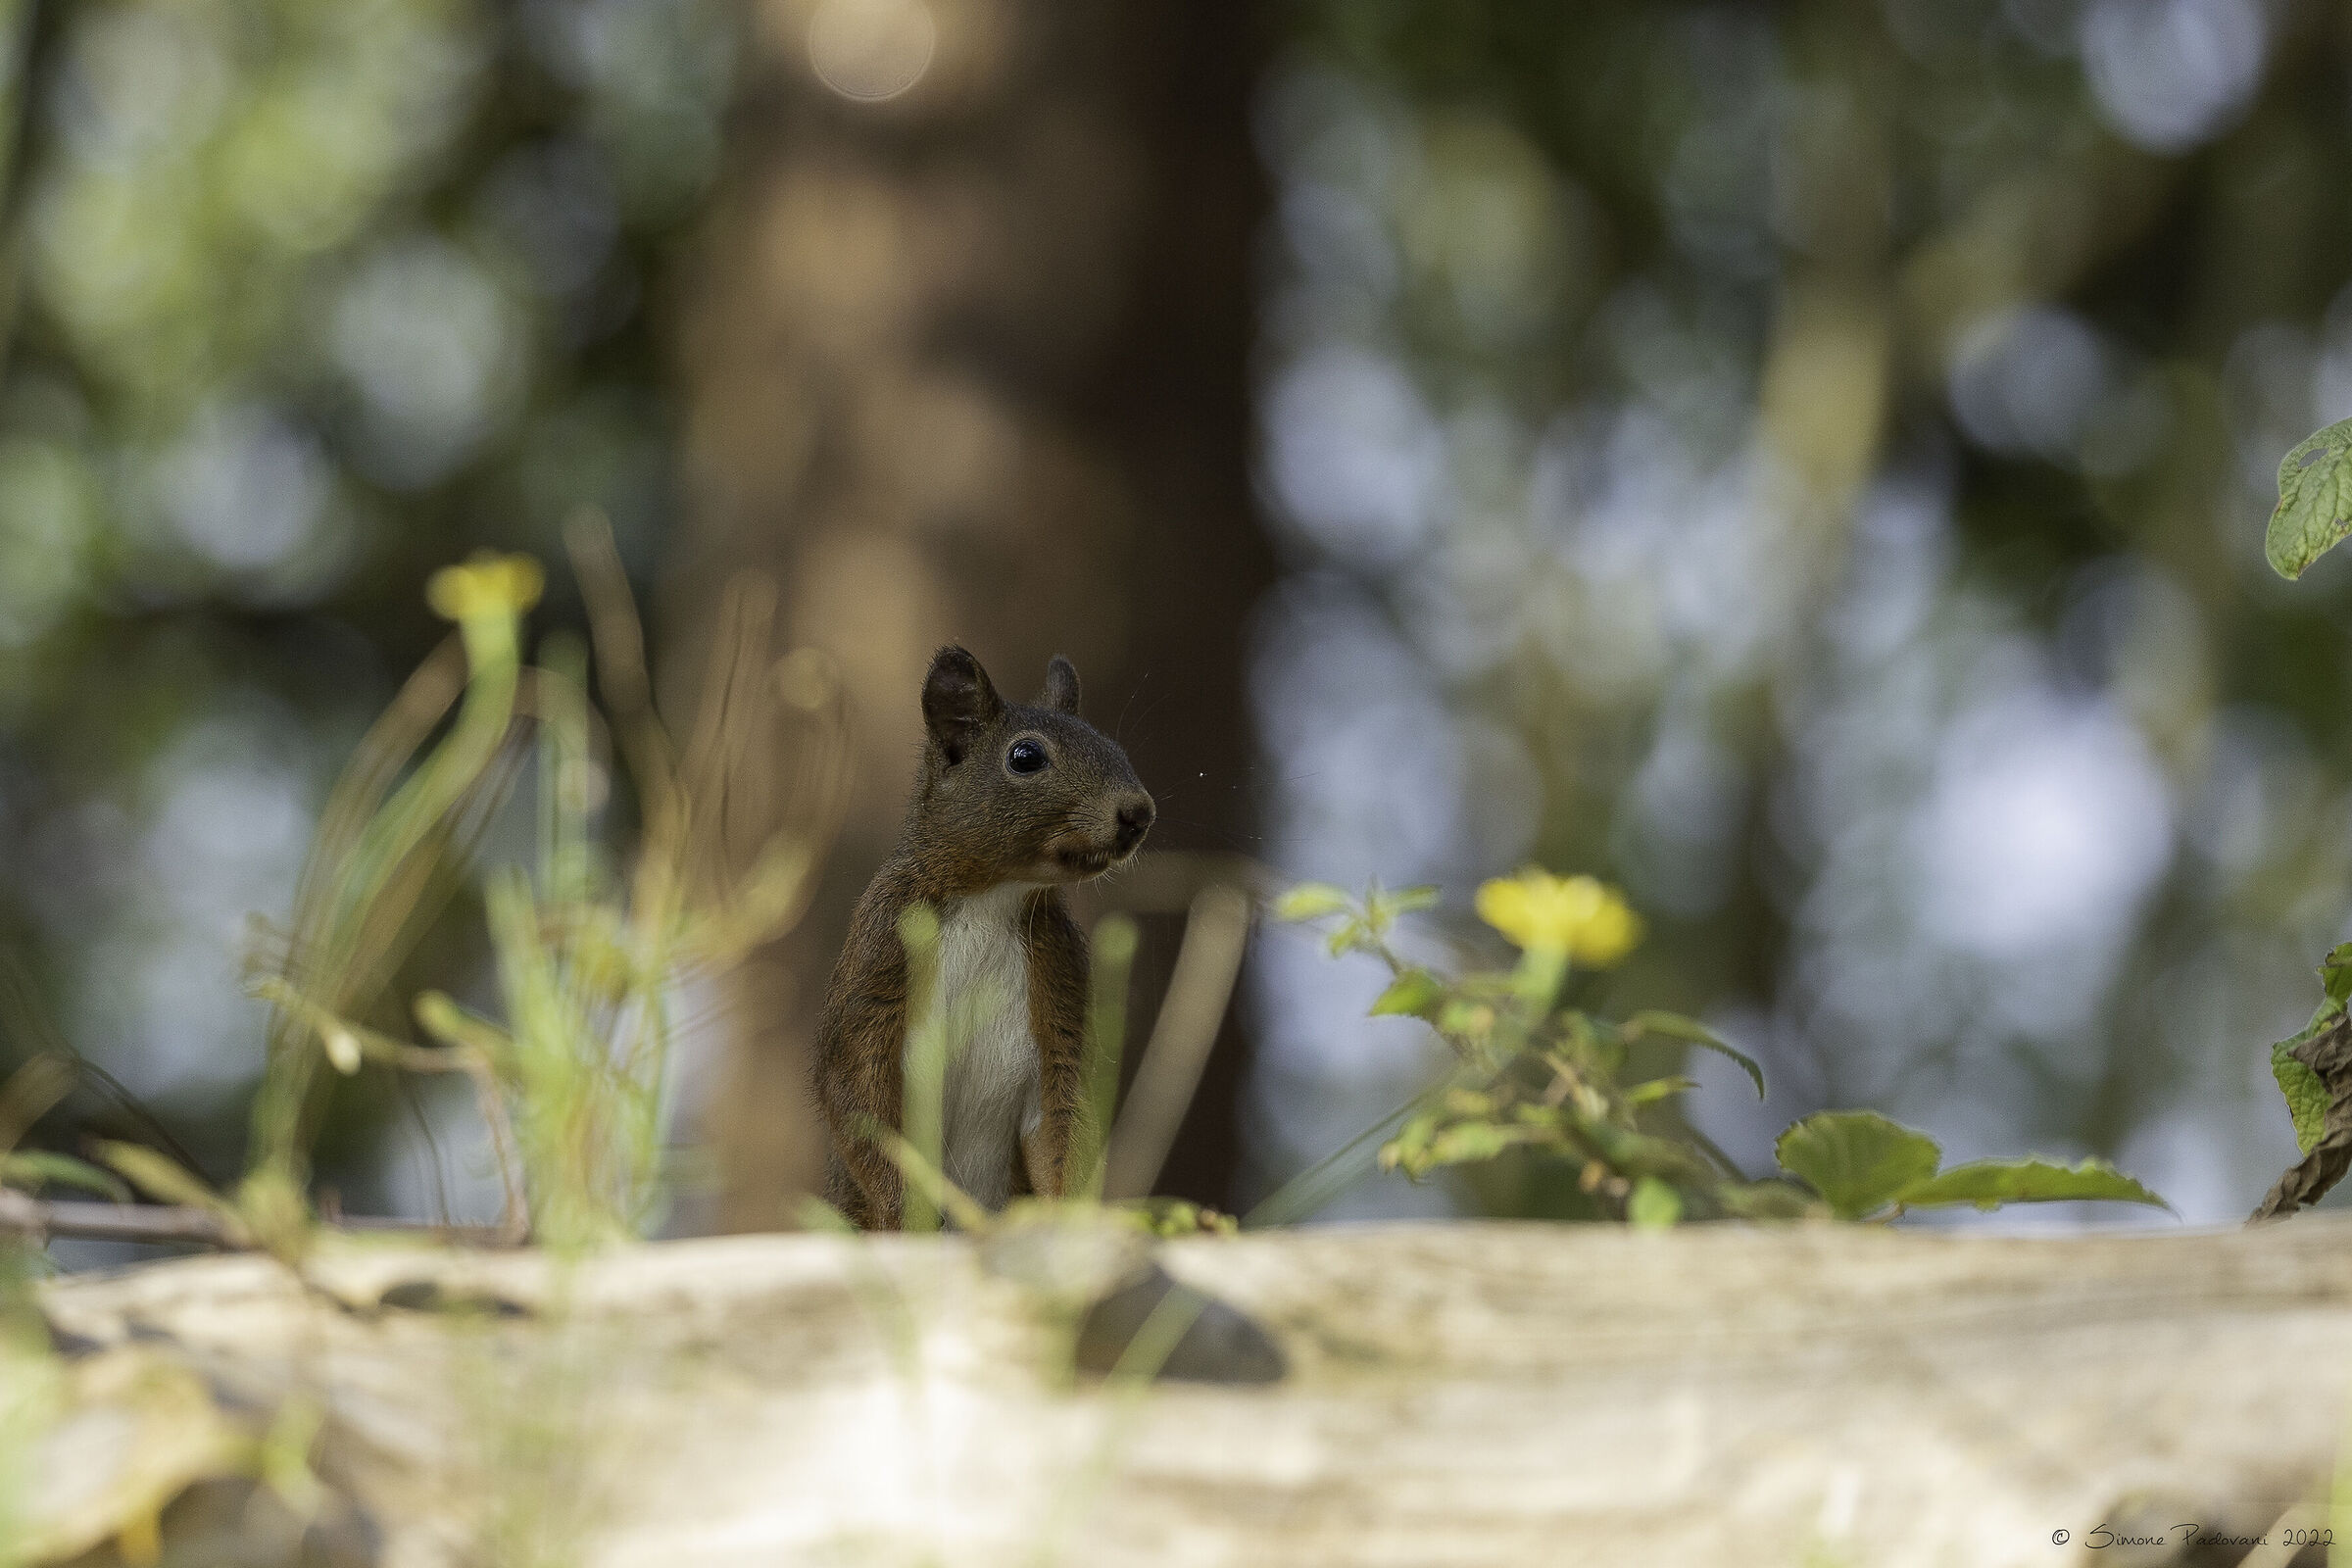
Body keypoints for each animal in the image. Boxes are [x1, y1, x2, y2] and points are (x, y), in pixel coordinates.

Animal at [815, 644, 1155, 1230]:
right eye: (1025, 757)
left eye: (1113, 746)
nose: (1139, 812)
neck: (991, 901)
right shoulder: (878, 951)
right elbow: (857, 1097)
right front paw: (904, 1216)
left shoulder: (1059, 983)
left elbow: (1060, 1124)